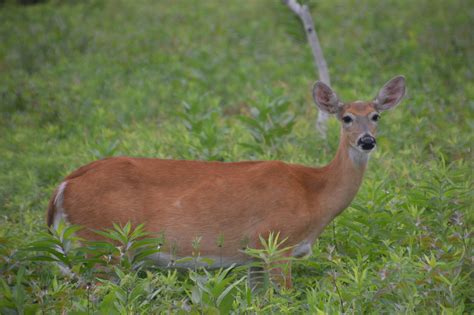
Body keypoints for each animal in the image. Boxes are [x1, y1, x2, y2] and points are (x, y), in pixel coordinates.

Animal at [46, 76, 406, 288]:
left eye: (376, 116)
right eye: (346, 118)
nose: (367, 141)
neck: (313, 192)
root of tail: (64, 185)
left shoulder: (255, 256)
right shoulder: (277, 241)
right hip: (104, 242)